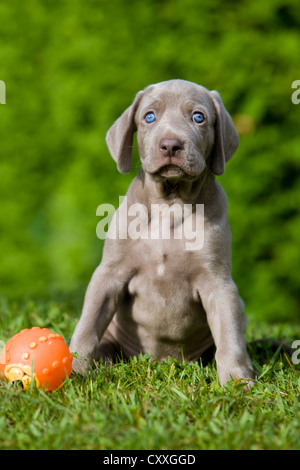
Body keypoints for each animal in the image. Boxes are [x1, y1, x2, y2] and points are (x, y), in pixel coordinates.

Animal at [70, 78, 255, 386]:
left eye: (198, 117)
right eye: (149, 117)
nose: (170, 145)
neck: (170, 204)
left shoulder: (218, 283)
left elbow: (230, 336)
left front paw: (237, 381)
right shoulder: (109, 274)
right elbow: (88, 324)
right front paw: (74, 369)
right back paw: (103, 362)